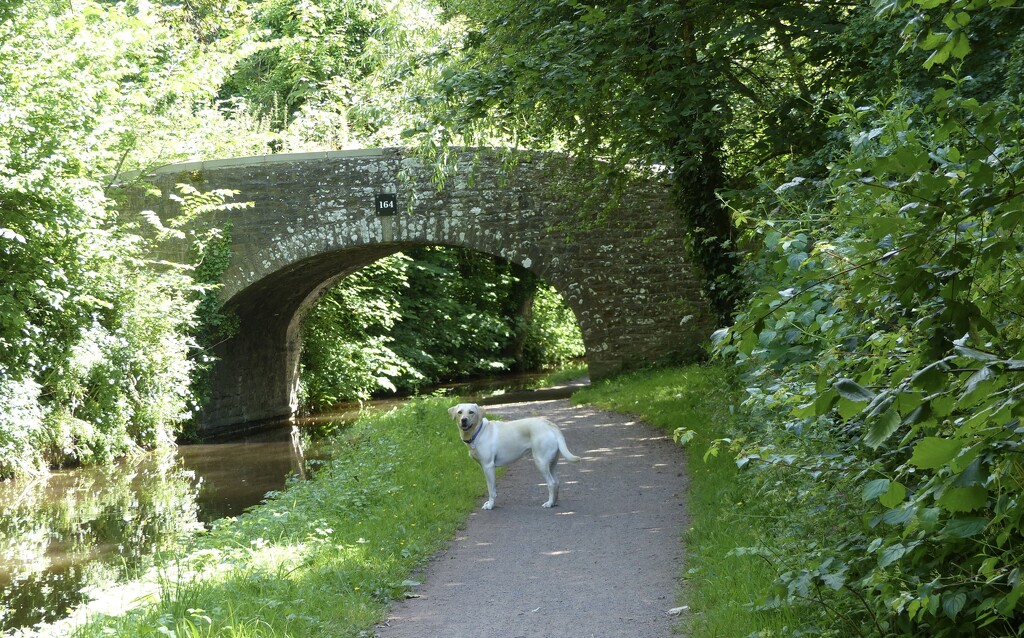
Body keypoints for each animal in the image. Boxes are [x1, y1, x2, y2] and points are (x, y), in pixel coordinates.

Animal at [450, 401, 585, 512]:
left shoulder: (488, 467)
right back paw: (554, 502)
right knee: (556, 482)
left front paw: (490, 505)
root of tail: (549, 425)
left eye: (471, 412)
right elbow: (492, 489)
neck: (478, 432)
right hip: (551, 463)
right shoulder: (485, 468)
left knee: (551, 483)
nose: (464, 420)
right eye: (459, 412)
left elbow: (491, 489)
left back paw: (549, 503)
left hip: (540, 461)